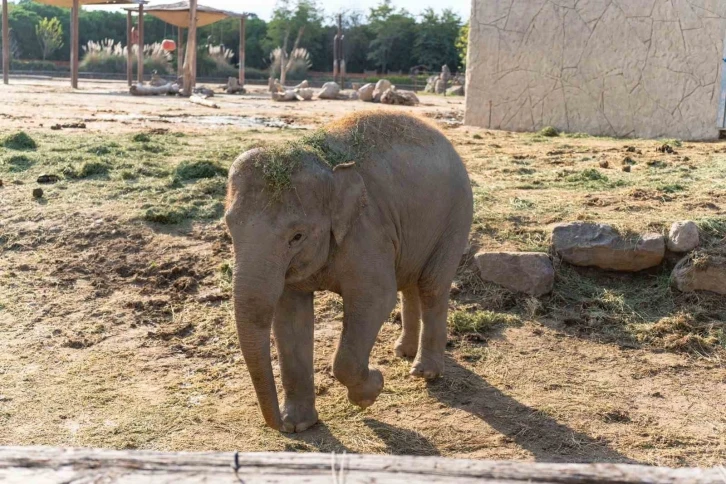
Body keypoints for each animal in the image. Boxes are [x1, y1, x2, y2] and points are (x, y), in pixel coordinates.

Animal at [229, 110, 478, 432]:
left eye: (296, 236)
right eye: (229, 228)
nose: (280, 426)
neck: (327, 165)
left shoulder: (366, 232)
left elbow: (375, 299)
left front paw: (372, 391)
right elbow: (290, 316)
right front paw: (300, 426)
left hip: (456, 216)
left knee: (431, 286)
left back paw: (424, 373)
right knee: (409, 284)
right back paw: (403, 352)